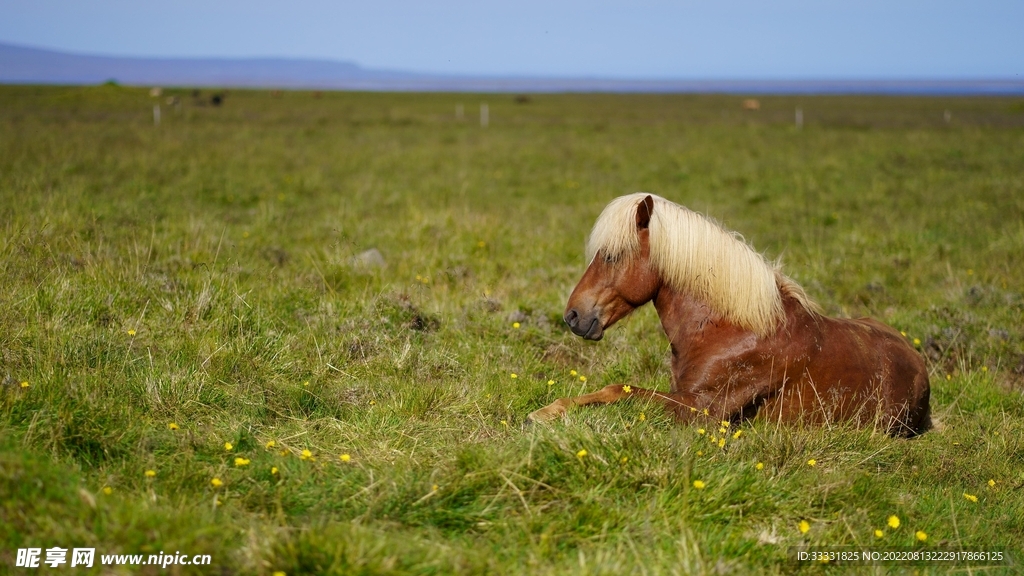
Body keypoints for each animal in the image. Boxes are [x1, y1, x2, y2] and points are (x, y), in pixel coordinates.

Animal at [528, 193, 931, 437]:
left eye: (612, 256)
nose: (573, 316)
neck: (729, 328)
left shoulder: (698, 411)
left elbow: (619, 391)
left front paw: (544, 414)